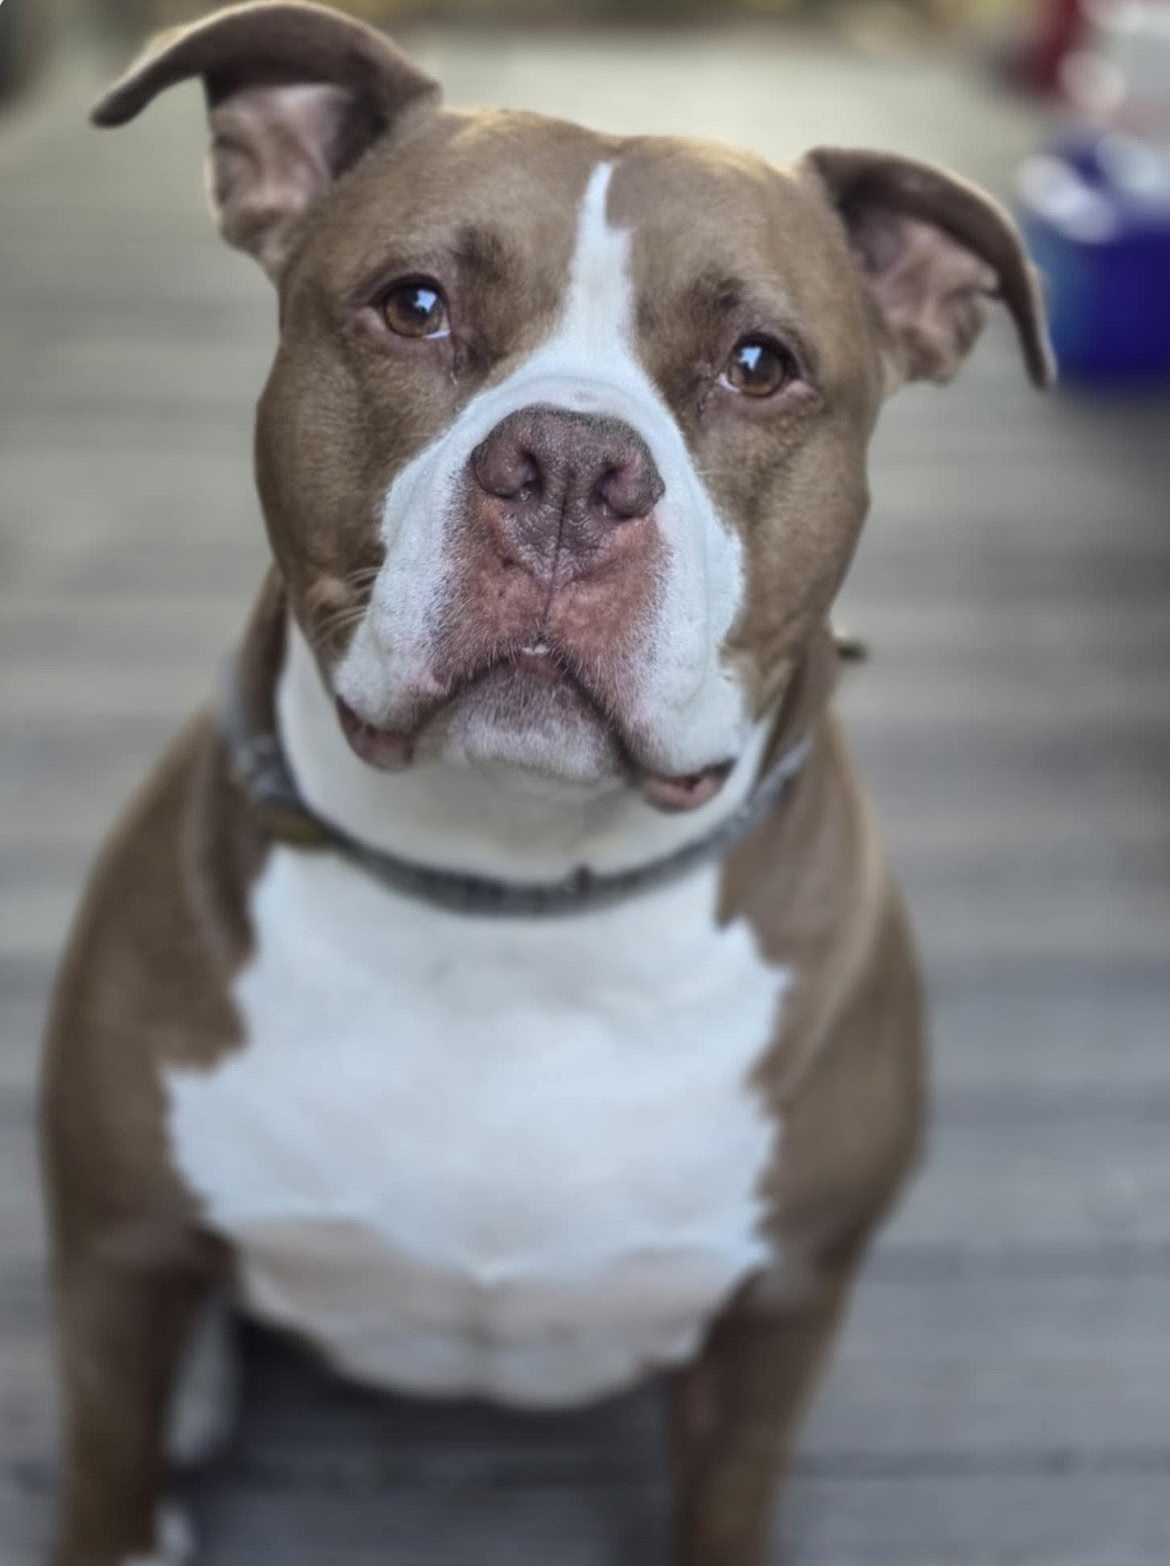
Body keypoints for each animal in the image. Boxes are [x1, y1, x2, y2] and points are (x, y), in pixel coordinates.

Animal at [40, 4, 1052, 1562]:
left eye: (758, 361)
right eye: (413, 305)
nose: (571, 464)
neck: (511, 900)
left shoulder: (778, 1318)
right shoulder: (112, 1250)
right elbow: (105, 1473)